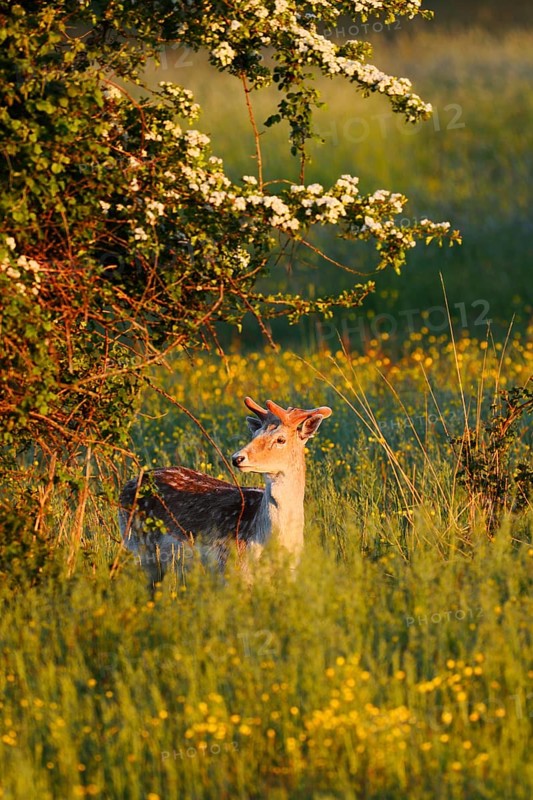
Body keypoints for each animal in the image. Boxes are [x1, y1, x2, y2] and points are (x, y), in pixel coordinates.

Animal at [118, 396, 332, 590]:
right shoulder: (233, 572)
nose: (237, 457)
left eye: (281, 439)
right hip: (140, 549)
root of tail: (129, 483)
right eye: (255, 434)